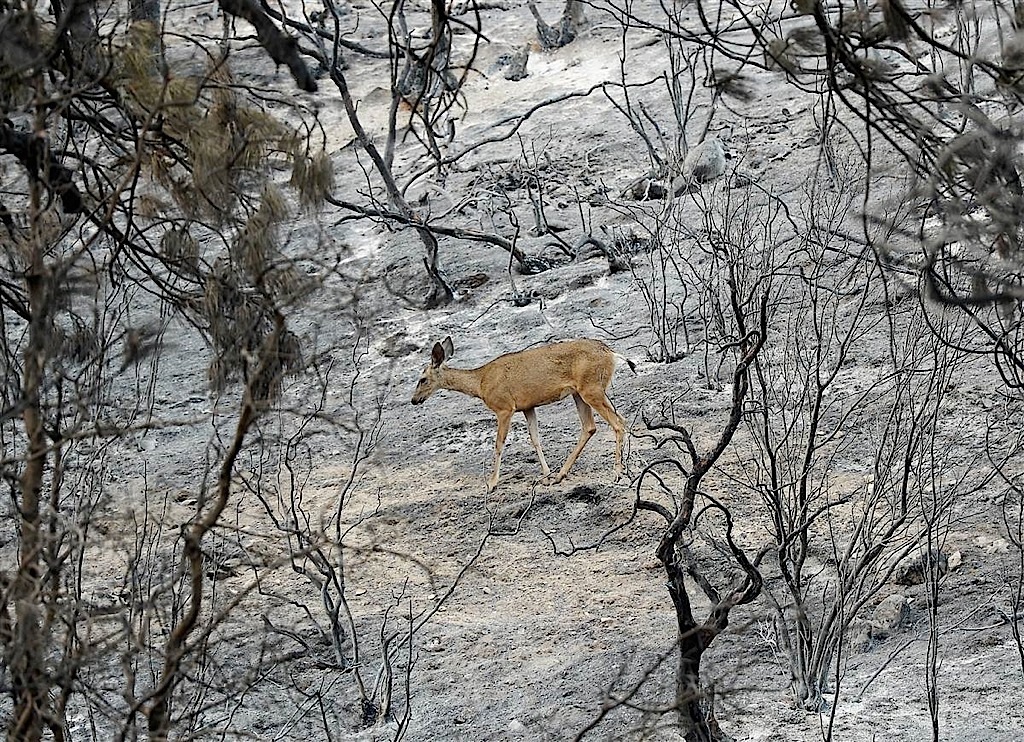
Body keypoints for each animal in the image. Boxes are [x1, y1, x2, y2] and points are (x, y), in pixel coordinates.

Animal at [411, 337, 635, 492]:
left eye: (422, 379)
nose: (414, 400)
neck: (481, 383)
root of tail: (612, 353)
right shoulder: (528, 406)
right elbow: (535, 439)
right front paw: (546, 476)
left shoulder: (504, 407)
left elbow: (499, 444)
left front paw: (492, 483)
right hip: (581, 393)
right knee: (592, 426)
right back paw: (561, 474)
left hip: (591, 389)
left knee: (617, 423)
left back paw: (617, 472)